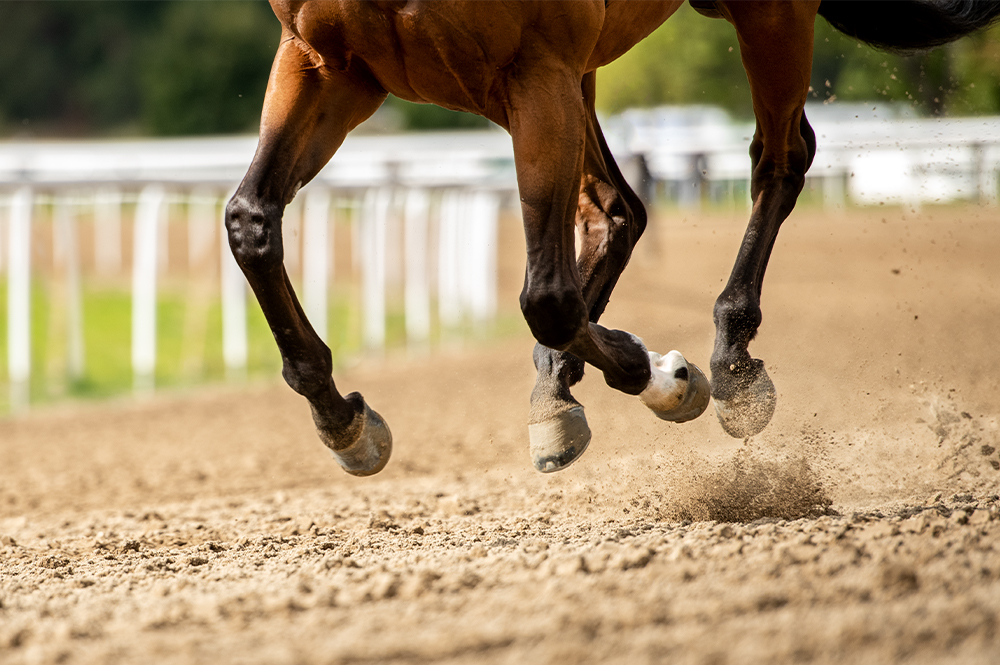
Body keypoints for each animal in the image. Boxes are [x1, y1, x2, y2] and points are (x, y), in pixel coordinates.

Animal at [227, 0, 1000, 478]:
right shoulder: (326, 63)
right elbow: (250, 223)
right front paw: (343, 420)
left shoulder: (534, 67)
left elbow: (547, 297)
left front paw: (657, 372)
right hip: (567, 76)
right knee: (615, 208)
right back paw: (557, 387)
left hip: (762, 16)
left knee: (779, 160)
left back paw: (730, 361)